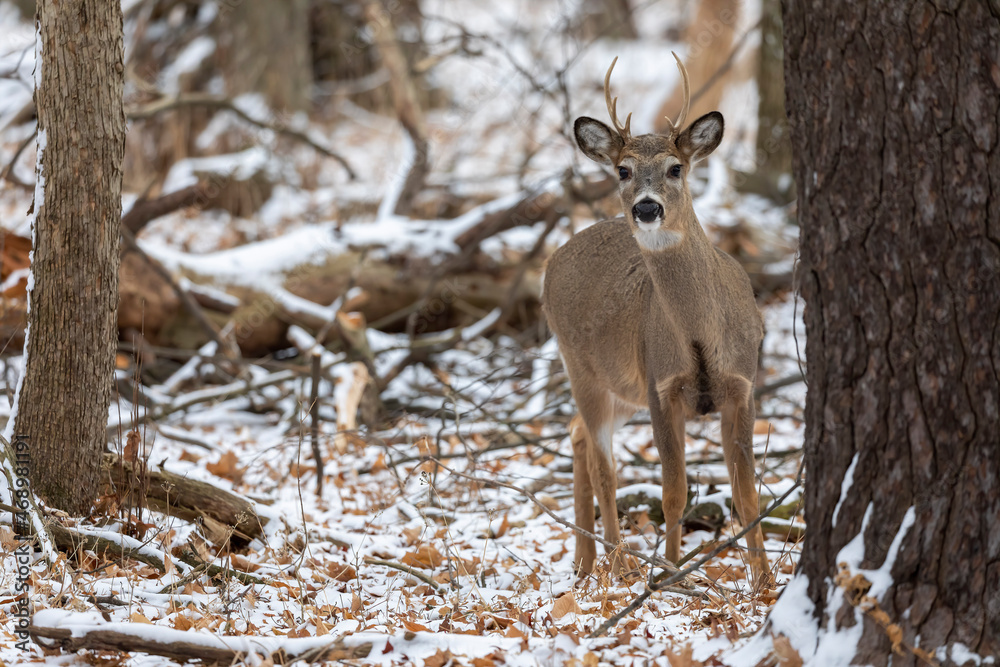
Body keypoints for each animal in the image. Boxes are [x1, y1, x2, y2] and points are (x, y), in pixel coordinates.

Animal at [544, 54, 768, 588]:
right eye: (623, 169)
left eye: (676, 167)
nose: (647, 206)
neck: (702, 337)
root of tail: (551, 261)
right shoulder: (660, 386)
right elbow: (674, 492)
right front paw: (670, 571)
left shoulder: (744, 384)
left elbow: (747, 492)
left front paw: (765, 580)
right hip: (581, 366)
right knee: (602, 462)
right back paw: (617, 562)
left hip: (618, 387)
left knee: (576, 433)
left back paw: (584, 562)